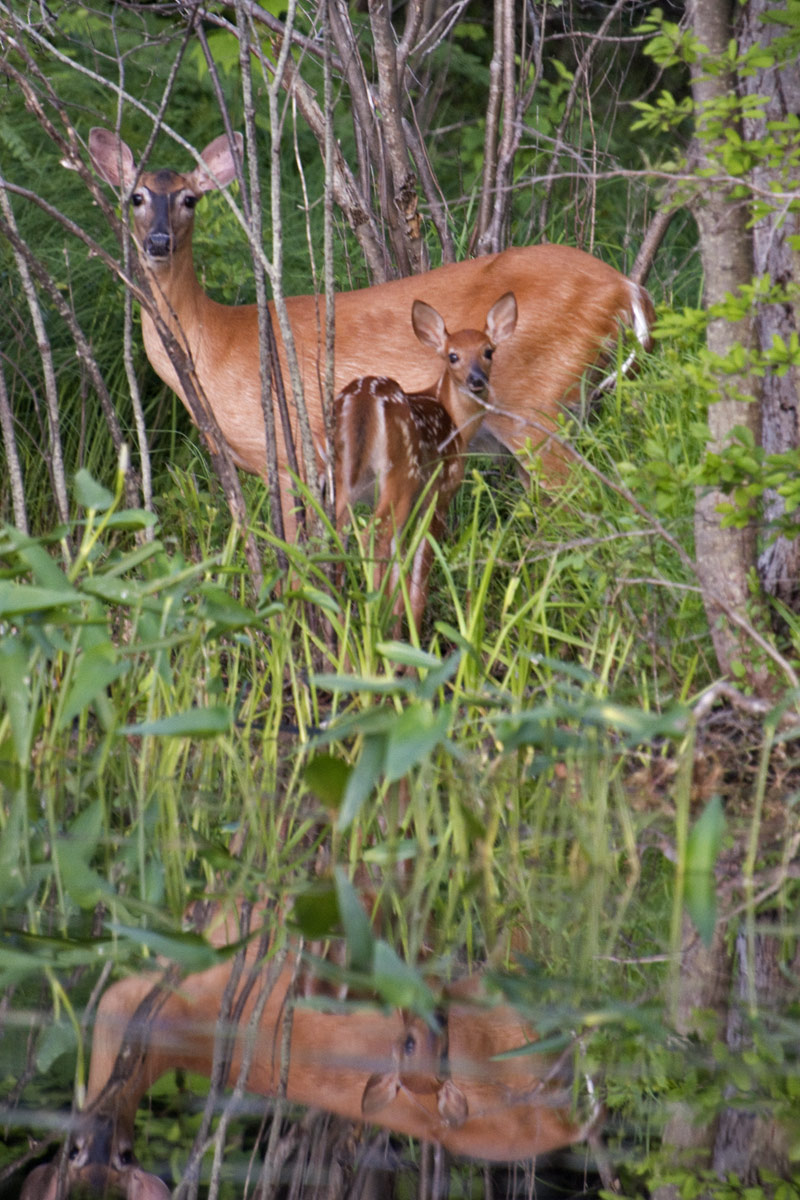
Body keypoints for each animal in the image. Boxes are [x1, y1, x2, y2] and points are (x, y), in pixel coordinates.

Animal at [87, 129, 654, 540]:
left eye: (190, 199)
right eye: (135, 197)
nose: (158, 242)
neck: (217, 343)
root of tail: (627, 288)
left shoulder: (291, 453)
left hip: (537, 407)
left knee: (588, 507)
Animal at [334, 291, 518, 632]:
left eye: (488, 351)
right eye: (452, 356)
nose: (476, 380)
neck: (457, 423)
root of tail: (363, 401)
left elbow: (400, 564)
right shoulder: (440, 491)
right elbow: (418, 570)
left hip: (339, 475)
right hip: (401, 474)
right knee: (372, 534)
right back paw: (372, 617)